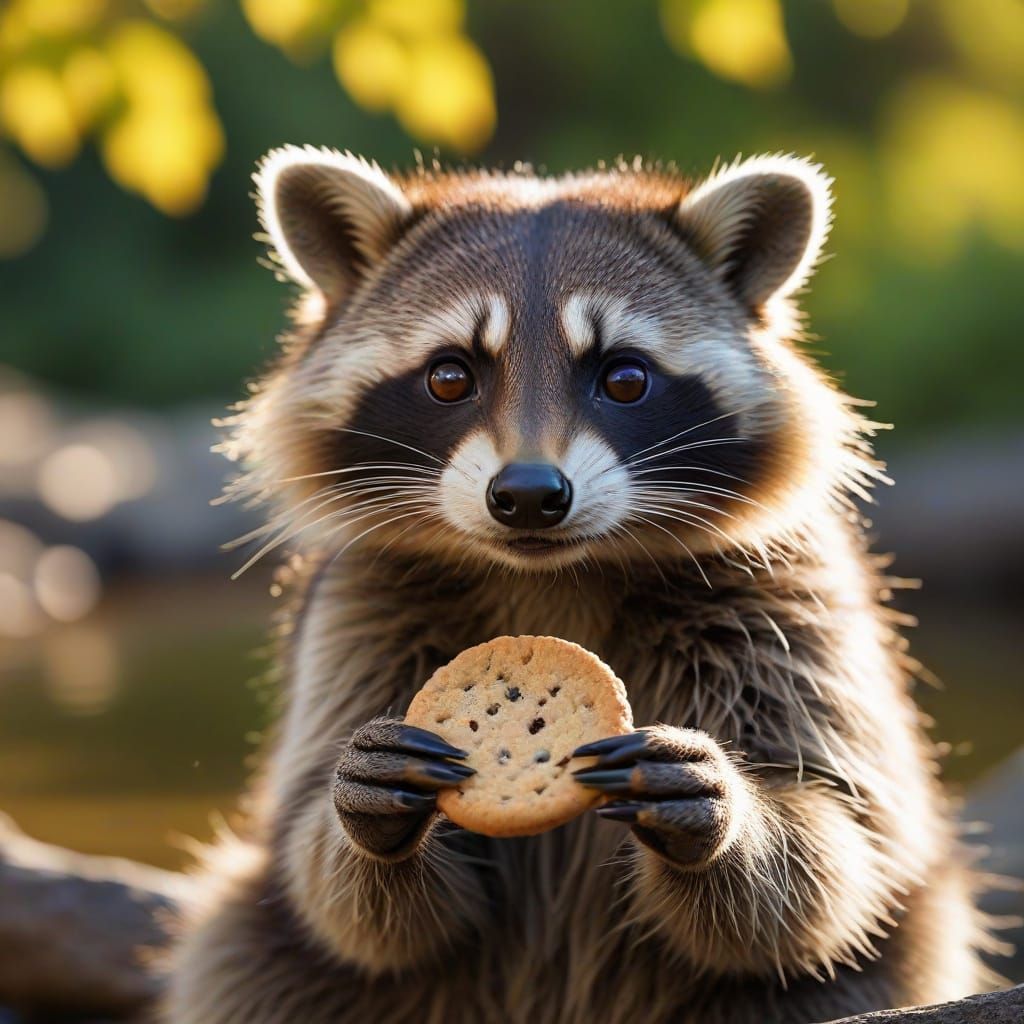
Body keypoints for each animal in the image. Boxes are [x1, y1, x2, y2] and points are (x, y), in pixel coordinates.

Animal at [161, 148, 991, 1024]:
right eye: (449, 376)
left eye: (625, 378)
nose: (528, 495)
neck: (553, 574)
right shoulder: (360, 612)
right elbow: (339, 891)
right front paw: (367, 821)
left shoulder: (788, 600)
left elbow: (838, 839)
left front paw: (733, 816)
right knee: (241, 949)